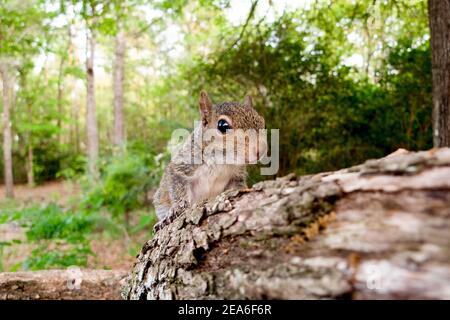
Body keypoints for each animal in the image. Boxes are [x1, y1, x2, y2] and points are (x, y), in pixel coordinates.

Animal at [154, 91, 268, 231]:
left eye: (263, 123)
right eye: (223, 126)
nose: (261, 150)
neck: (222, 161)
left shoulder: (236, 175)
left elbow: (237, 186)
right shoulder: (183, 165)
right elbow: (177, 185)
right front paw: (177, 207)